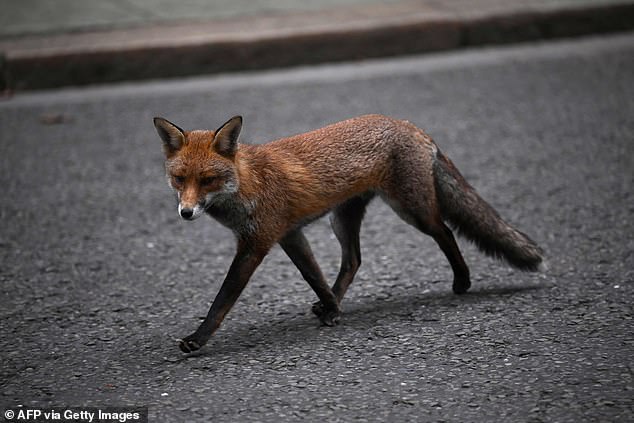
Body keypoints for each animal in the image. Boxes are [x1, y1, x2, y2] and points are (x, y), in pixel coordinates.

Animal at [153, 113, 544, 354]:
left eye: (208, 180)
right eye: (179, 179)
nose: (186, 212)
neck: (248, 184)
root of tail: (407, 124)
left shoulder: (257, 243)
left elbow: (222, 300)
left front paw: (198, 339)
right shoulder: (290, 236)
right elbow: (315, 277)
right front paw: (332, 308)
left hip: (412, 211)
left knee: (446, 233)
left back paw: (462, 281)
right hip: (341, 220)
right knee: (354, 260)